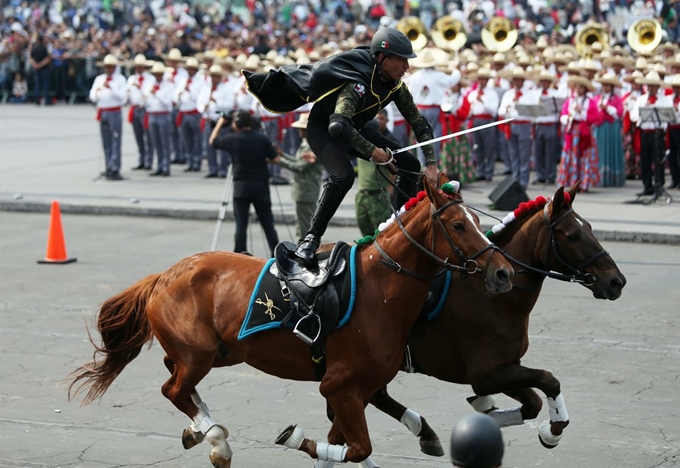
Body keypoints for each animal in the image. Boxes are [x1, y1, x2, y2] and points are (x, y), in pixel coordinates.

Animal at [70, 176, 516, 468]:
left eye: (479, 222)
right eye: (458, 225)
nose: (503, 272)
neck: (380, 290)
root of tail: (166, 274)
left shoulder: (356, 391)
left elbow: (350, 445)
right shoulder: (340, 387)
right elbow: (358, 448)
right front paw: (297, 439)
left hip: (222, 352)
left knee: (174, 376)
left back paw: (198, 429)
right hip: (199, 355)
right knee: (173, 388)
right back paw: (215, 439)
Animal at [340, 183, 628, 458]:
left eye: (589, 227)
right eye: (572, 235)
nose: (616, 281)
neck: (496, 298)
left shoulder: (507, 366)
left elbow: (533, 402)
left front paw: (490, 412)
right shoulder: (486, 372)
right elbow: (548, 380)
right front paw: (553, 430)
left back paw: (424, 432)